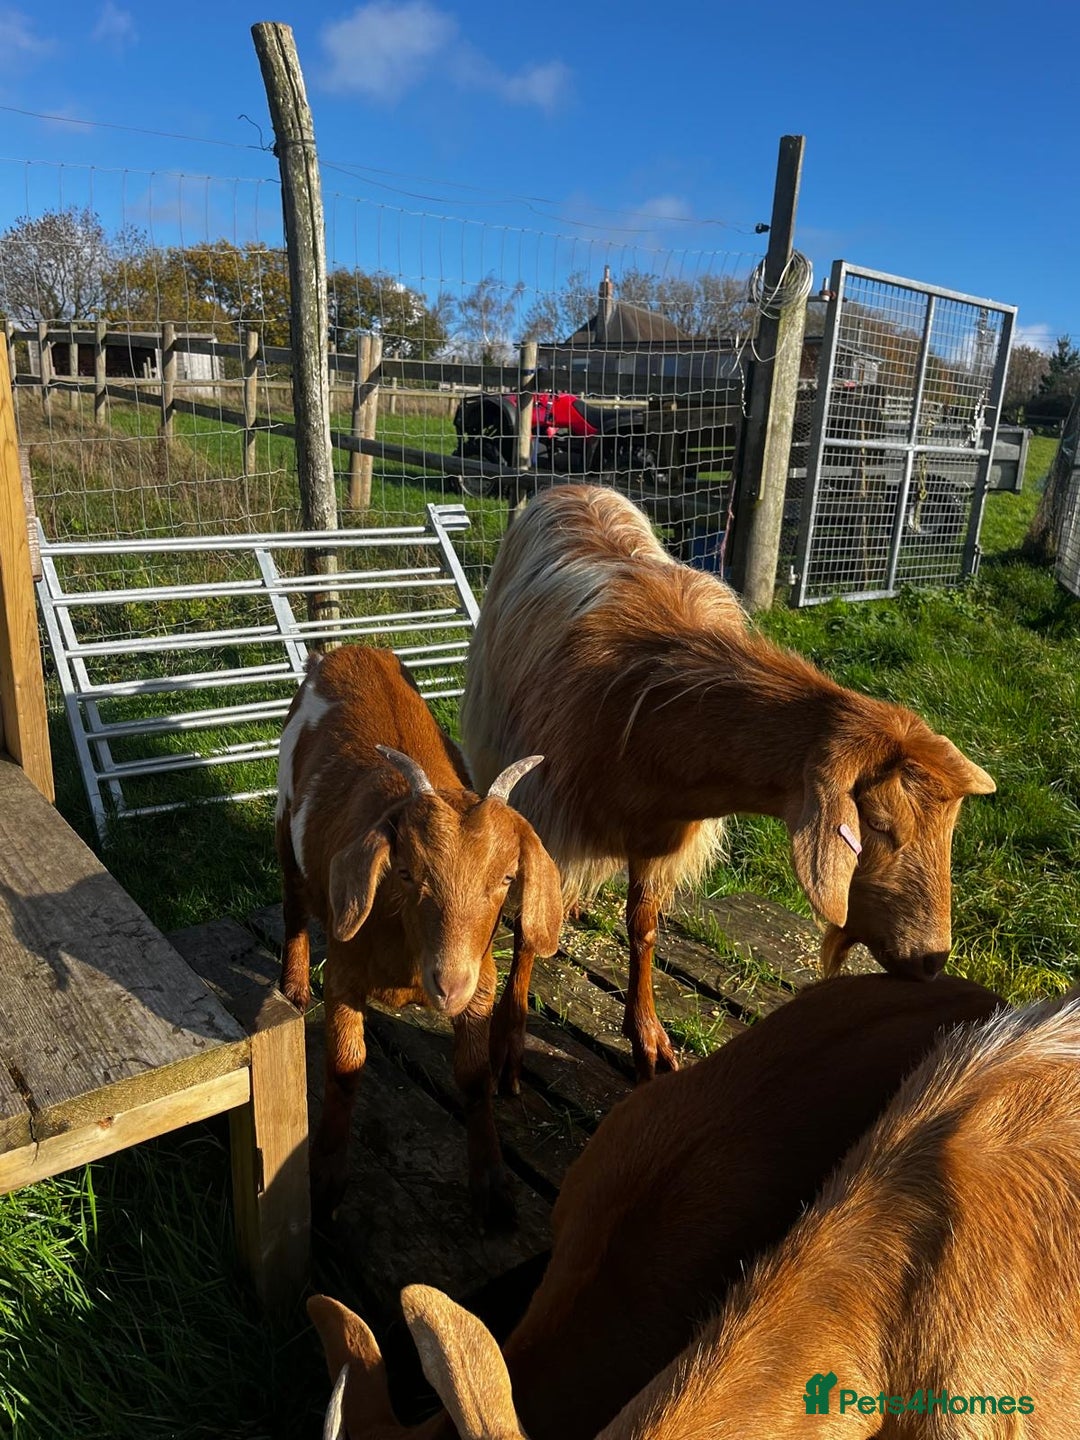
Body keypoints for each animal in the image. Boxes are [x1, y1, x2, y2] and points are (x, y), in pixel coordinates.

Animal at [275, 645, 563, 1224]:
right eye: (406, 872)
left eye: (507, 878)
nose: (447, 984)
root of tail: (347, 650)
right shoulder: (344, 973)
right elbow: (345, 1066)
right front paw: (325, 1181)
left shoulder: (482, 979)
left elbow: (474, 1076)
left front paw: (493, 1189)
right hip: (281, 815)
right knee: (293, 901)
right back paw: (292, 987)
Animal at [460, 484, 996, 1087]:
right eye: (878, 825)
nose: (933, 959)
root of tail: (574, 485)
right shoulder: (547, 815)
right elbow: (529, 930)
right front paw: (508, 1043)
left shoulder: (662, 840)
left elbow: (644, 928)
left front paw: (648, 1038)